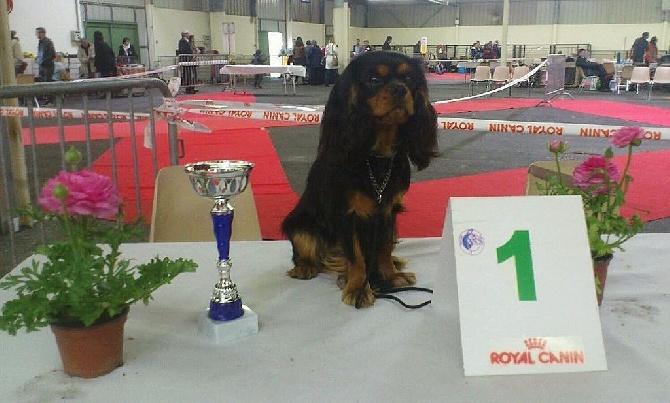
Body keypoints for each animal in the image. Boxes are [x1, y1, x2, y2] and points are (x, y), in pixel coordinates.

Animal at [284, 51, 440, 310]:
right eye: (374, 80)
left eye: (408, 79)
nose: (400, 89)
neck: (376, 155)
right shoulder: (346, 214)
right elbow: (355, 256)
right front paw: (357, 287)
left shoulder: (388, 211)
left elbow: (384, 247)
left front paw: (390, 276)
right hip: (301, 223)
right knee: (304, 249)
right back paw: (306, 266)